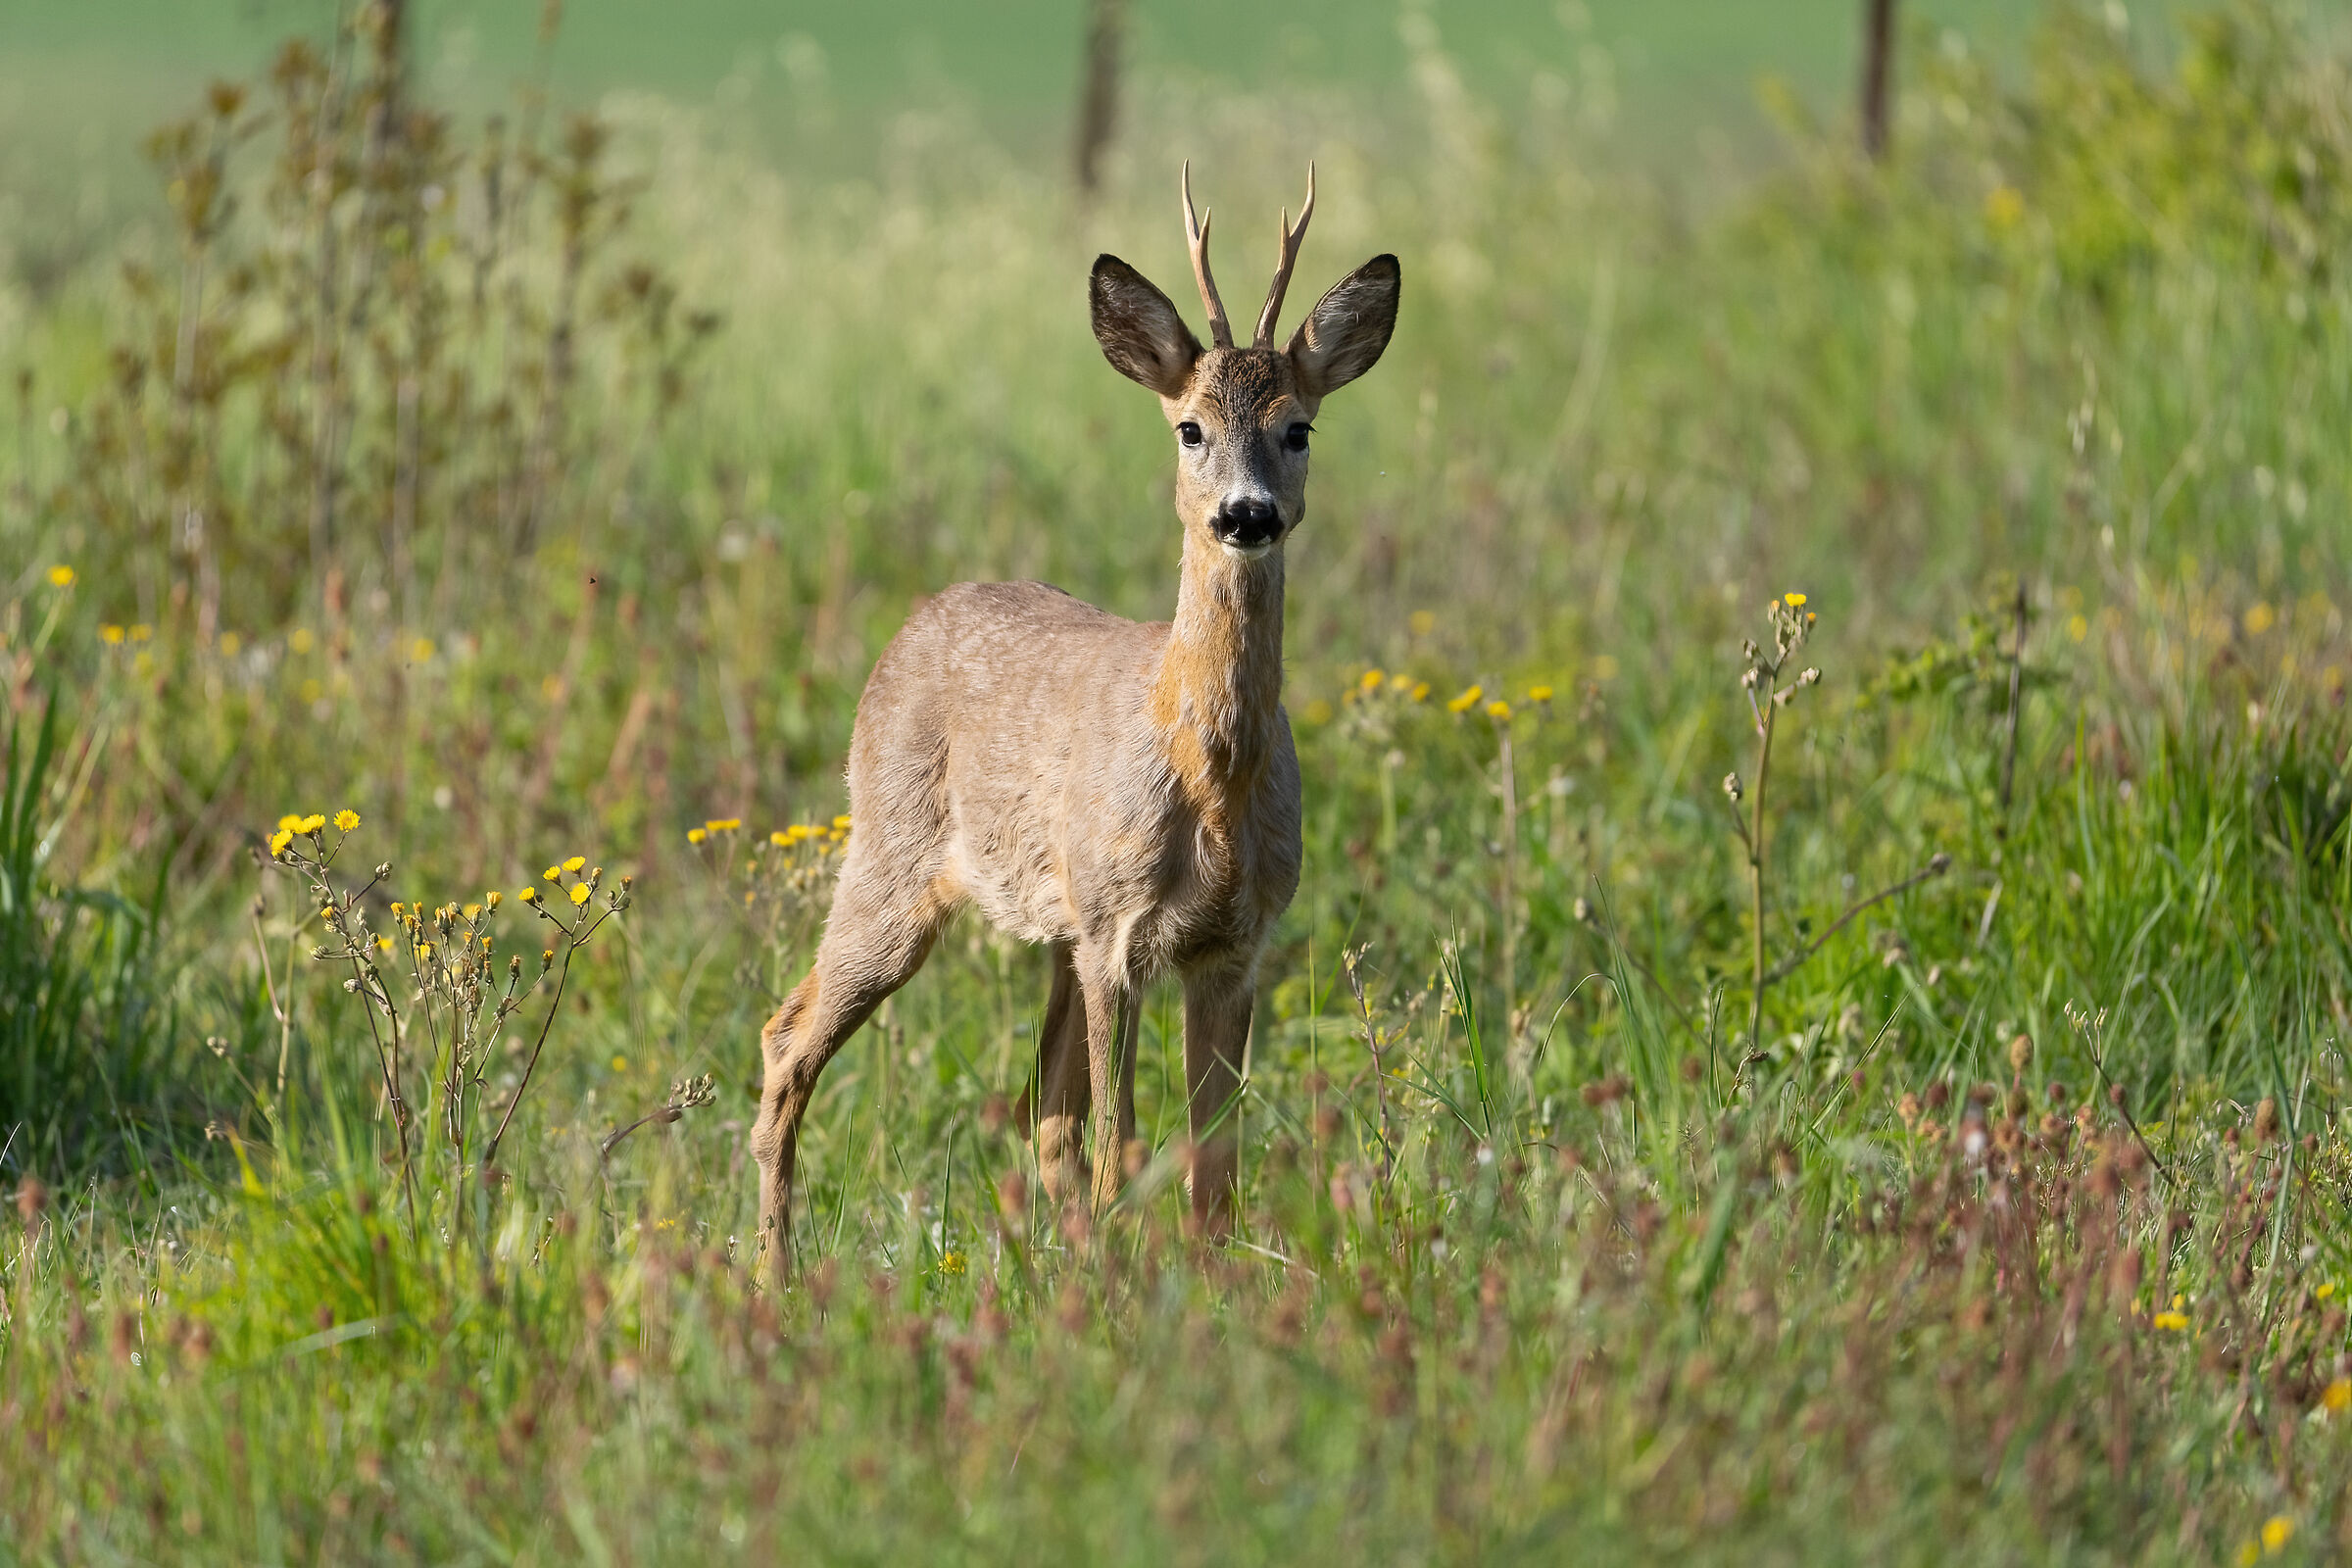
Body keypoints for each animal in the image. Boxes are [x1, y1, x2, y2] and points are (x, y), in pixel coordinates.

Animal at [751, 164, 1399, 1285]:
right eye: (1189, 427)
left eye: (1299, 427)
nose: (1247, 514)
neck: (1208, 779)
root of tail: (910, 625)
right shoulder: (1116, 935)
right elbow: (1122, 1142)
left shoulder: (1236, 943)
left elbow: (1212, 1162)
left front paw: (1205, 1286)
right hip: (893, 857)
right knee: (789, 1038)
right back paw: (770, 1278)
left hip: (1048, 925)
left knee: (1042, 1113)